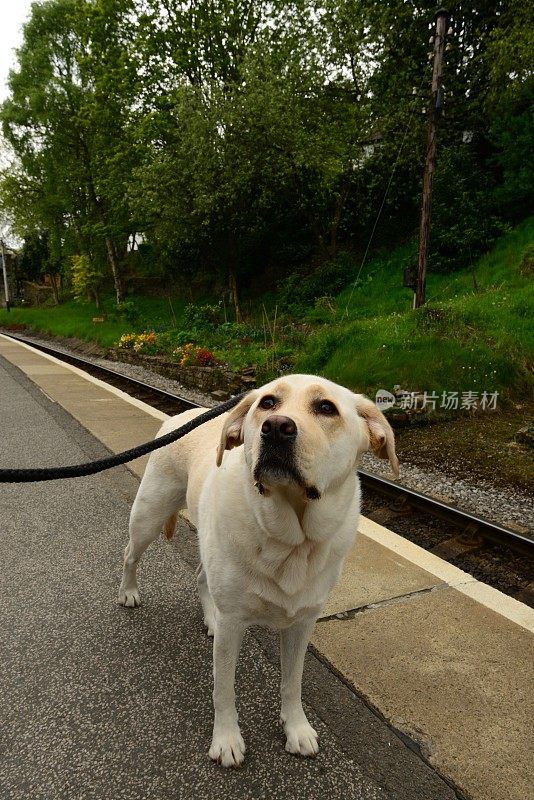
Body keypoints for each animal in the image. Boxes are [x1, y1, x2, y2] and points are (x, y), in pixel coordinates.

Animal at [119, 376, 400, 768]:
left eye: (326, 408)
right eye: (267, 402)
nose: (277, 427)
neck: (291, 539)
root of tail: (182, 416)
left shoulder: (302, 624)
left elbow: (292, 683)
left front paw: (296, 728)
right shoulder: (234, 625)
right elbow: (223, 689)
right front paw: (226, 739)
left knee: (202, 577)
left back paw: (209, 617)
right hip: (149, 515)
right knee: (130, 554)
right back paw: (128, 592)